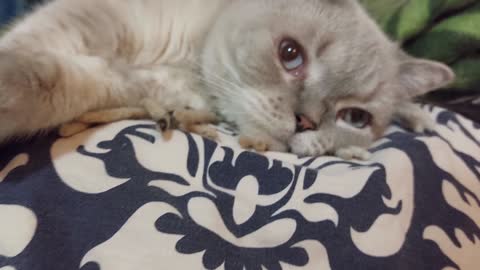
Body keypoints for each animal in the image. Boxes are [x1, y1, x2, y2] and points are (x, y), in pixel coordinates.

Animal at [0, 0, 454, 159]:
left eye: (355, 119)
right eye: (290, 54)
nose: (305, 122)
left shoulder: (129, 81)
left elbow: (58, 85)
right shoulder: (93, 19)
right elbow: (32, 65)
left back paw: (421, 118)